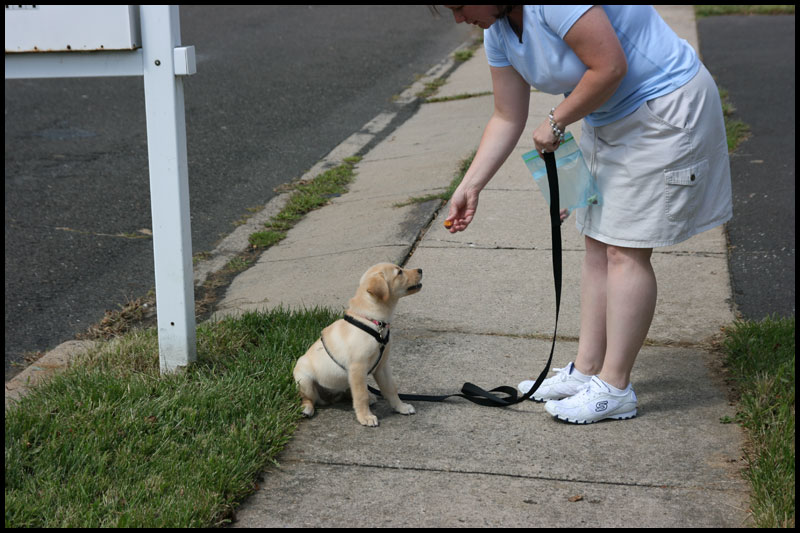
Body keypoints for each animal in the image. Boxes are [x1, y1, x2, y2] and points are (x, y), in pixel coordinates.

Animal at [290, 260, 422, 426]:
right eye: (399, 272)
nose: (420, 270)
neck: (373, 321)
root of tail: (327, 398)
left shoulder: (382, 366)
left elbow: (391, 389)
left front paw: (401, 407)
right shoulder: (358, 368)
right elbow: (360, 395)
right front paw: (365, 417)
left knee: (348, 392)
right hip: (304, 379)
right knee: (309, 398)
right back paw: (307, 409)